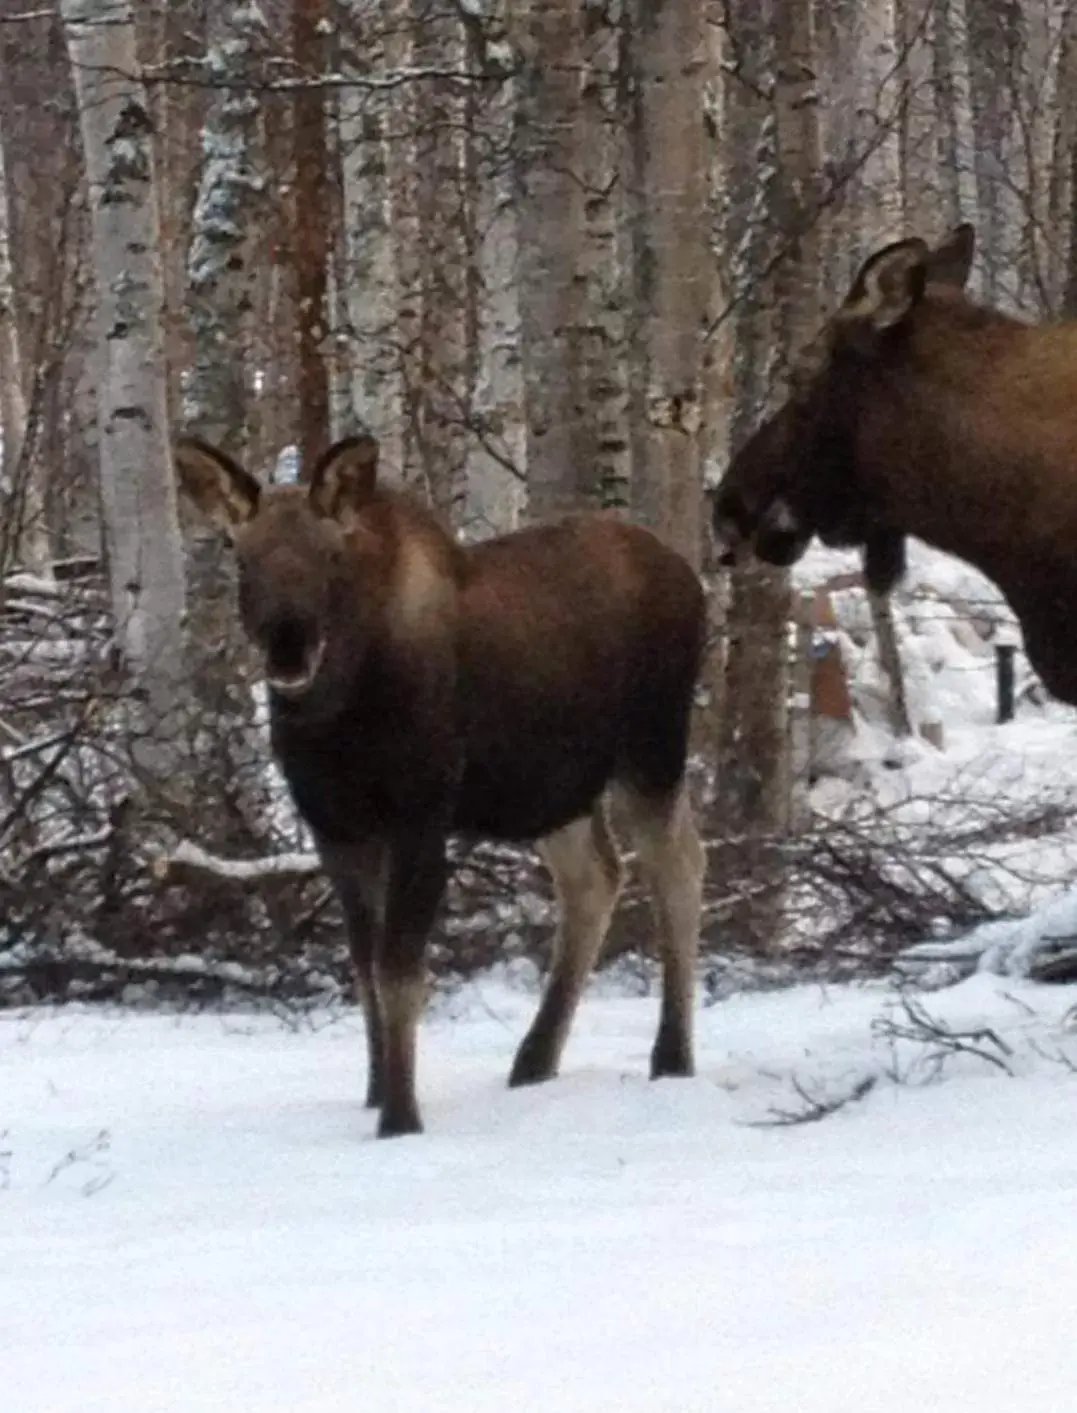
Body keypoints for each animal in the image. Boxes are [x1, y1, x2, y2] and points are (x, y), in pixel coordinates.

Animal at [175, 435, 703, 1141]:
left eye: (330, 555)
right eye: (242, 555)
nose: (289, 649)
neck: (335, 720)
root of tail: (690, 576)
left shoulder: (420, 814)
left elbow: (400, 969)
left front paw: (401, 1116)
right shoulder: (335, 827)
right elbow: (364, 967)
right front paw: (376, 1090)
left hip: (651, 751)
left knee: (678, 866)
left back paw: (670, 1056)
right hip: (554, 788)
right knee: (596, 876)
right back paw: (534, 1060)